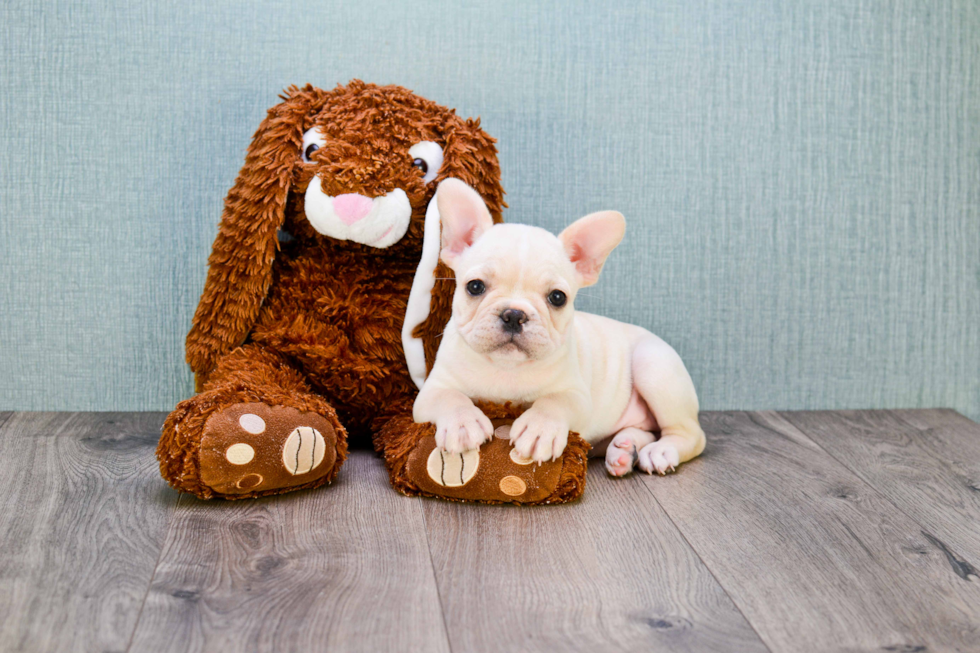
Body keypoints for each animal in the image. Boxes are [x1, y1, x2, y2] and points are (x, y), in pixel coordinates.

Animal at [414, 178, 704, 474]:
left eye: (557, 297)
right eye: (474, 287)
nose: (514, 314)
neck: (507, 367)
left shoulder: (577, 395)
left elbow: (554, 401)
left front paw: (539, 428)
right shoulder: (429, 392)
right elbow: (449, 397)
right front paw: (462, 422)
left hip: (653, 366)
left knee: (691, 435)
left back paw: (660, 451)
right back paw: (623, 450)